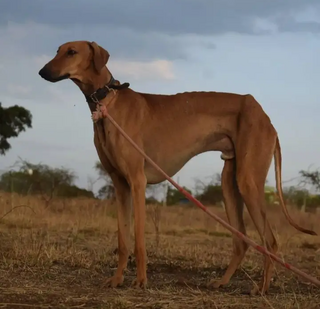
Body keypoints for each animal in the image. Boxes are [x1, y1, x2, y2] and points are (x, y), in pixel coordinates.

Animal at [38, 41, 316, 294]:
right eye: (57, 50)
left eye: (71, 52)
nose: (42, 72)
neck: (108, 102)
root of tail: (264, 115)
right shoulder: (120, 185)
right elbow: (123, 240)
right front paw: (117, 280)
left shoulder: (137, 182)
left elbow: (139, 240)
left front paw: (141, 281)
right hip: (230, 183)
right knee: (241, 241)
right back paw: (223, 282)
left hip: (248, 181)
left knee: (270, 241)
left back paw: (262, 288)